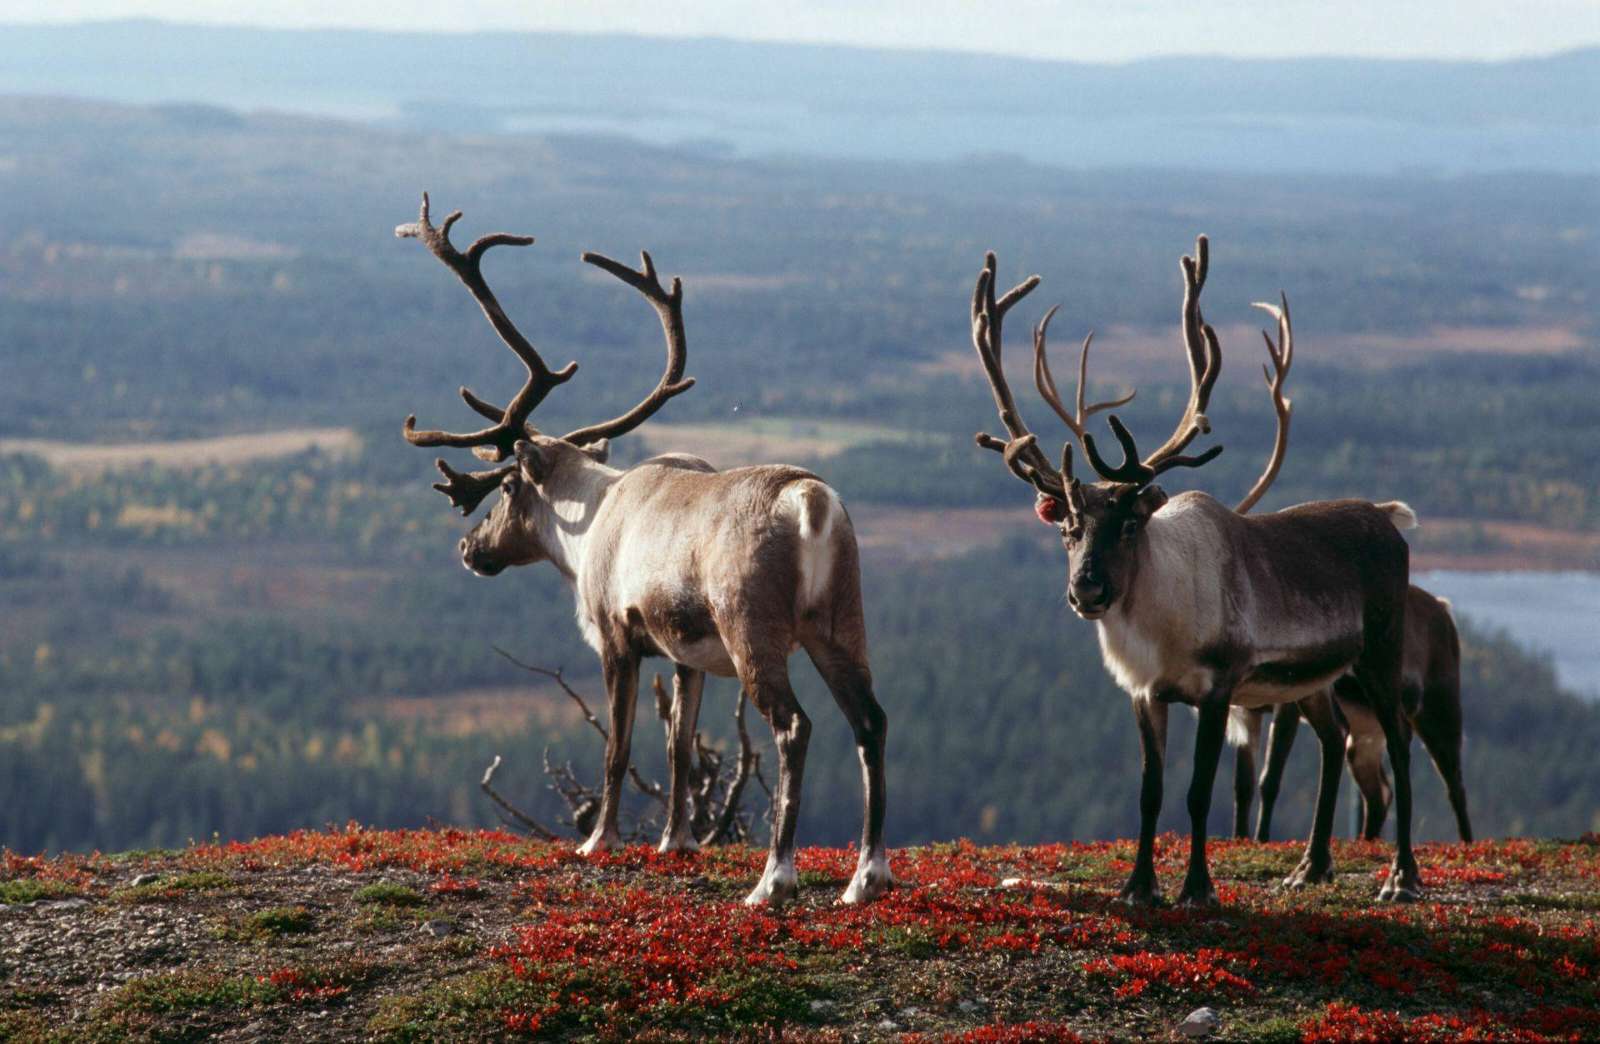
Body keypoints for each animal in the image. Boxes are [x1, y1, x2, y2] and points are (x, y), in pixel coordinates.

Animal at [392, 194, 891, 906]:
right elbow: (680, 748)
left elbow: (618, 748)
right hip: (840, 621)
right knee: (870, 720)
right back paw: (865, 876)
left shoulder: (616, 637)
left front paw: (598, 841)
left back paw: (774, 879)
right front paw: (675, 841)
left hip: (753, 628)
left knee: (794, 726)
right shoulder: (686, 655)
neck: (588, 525)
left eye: (509, 486)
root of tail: (810, 504)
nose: (468, 546)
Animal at [969, 236, 1424, 905]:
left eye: (1129, 524)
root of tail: (1388, 518)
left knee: (1399, 741)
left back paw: (1401, 877)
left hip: (1380, 654)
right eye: (1067, 528)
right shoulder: (1145, 695)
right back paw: (1311, 866)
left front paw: (1197, 888)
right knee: (1334, 738)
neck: (1158, 626)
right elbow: (1150, 792)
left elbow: (1198, 792)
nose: (1087, 589)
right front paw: (1138, 887)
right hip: (1313, 681)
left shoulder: (1219, 688)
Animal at [1235, 584, 1472, 843]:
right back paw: (1366, 842)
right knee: (1380, 794)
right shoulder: (1244, 711)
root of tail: (1444, 610)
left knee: (1455, 786)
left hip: (1438, 712)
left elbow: (1269, 778)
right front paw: (1240, 838)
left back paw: (1466, 843)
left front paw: (1260, 839)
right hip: (1365, 737)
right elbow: (1244, 786)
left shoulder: (1288, 701)